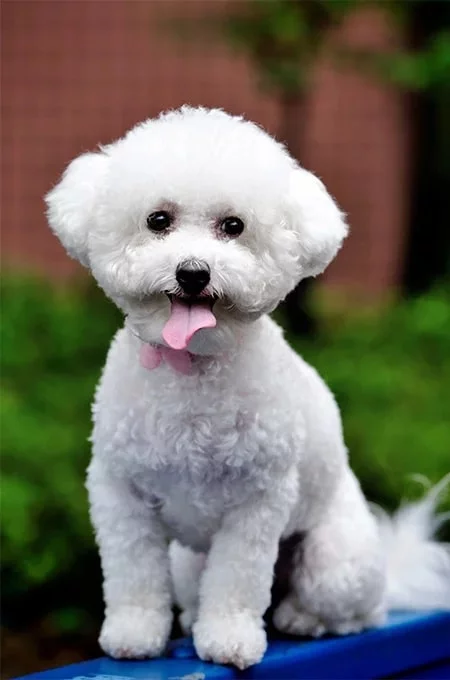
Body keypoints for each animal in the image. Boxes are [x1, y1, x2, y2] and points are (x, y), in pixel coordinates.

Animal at [46, 106, 450, 668]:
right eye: (158, 220)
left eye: (233, 227)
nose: (193, 272)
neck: (192, 365)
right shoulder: (119, 493)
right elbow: (133, 576)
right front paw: (134, 634)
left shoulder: (256, 505)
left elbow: (237, 581)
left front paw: (229, 639)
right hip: (187, 565)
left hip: (335, 561)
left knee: (357, 612)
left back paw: (302, 617)